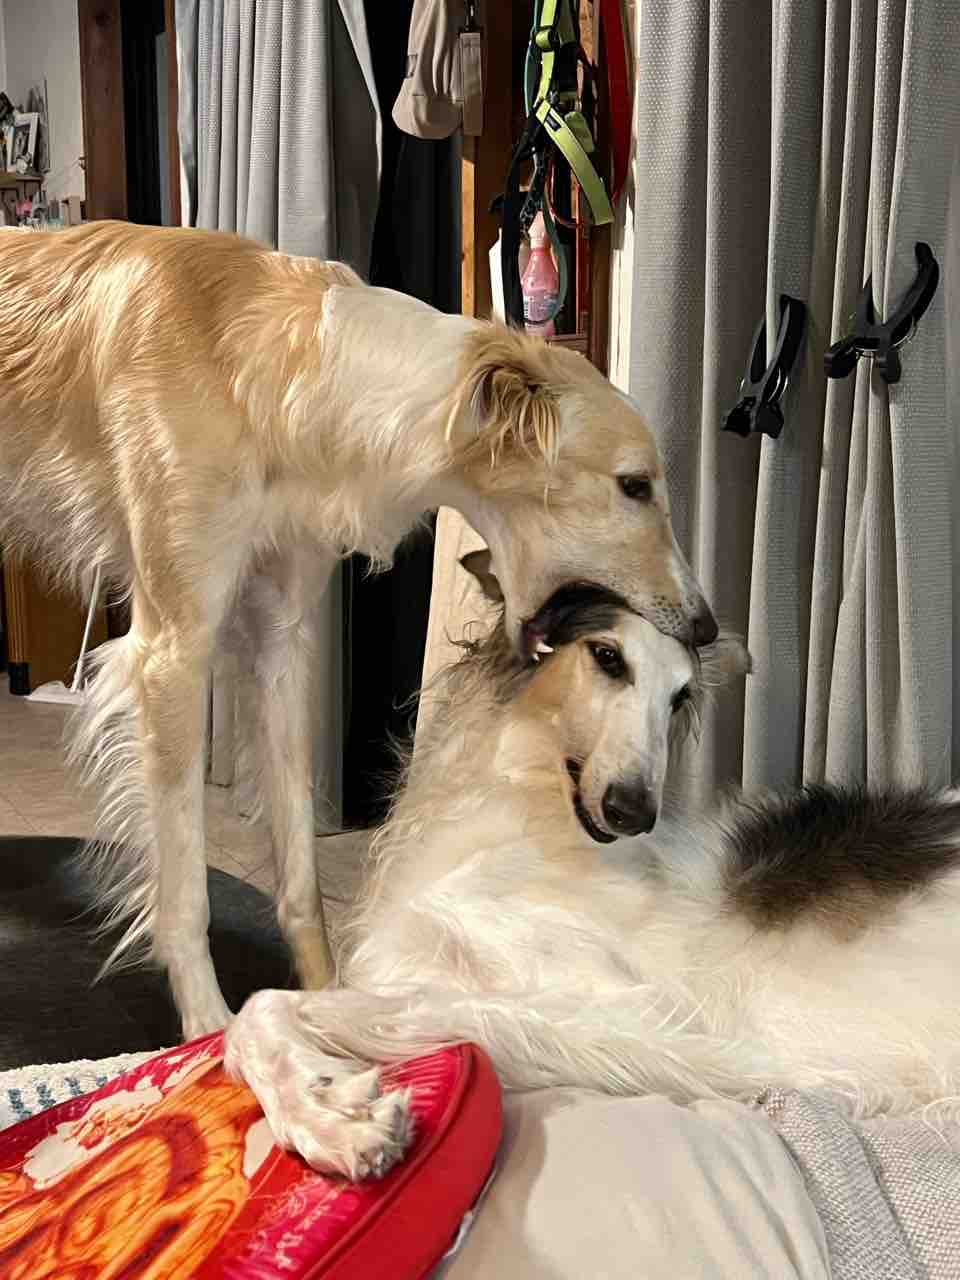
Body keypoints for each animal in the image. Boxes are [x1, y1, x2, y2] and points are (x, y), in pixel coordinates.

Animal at [0, 220, 716, 1037]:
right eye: (634, 485)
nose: (706, 624)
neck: (280, 368)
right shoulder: (173, 652)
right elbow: (183, 894)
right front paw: (212, 1030)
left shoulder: (279, 637)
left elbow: (300, 871)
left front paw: (328, 997)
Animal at [225, 573, 960, 1181]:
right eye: (608, 658)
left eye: (681, 697)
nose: (632, 811)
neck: (520, 814)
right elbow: (262, 1013)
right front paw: (330, 1111)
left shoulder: (629, 1001)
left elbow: (263, 1008)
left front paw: (334, 1116)